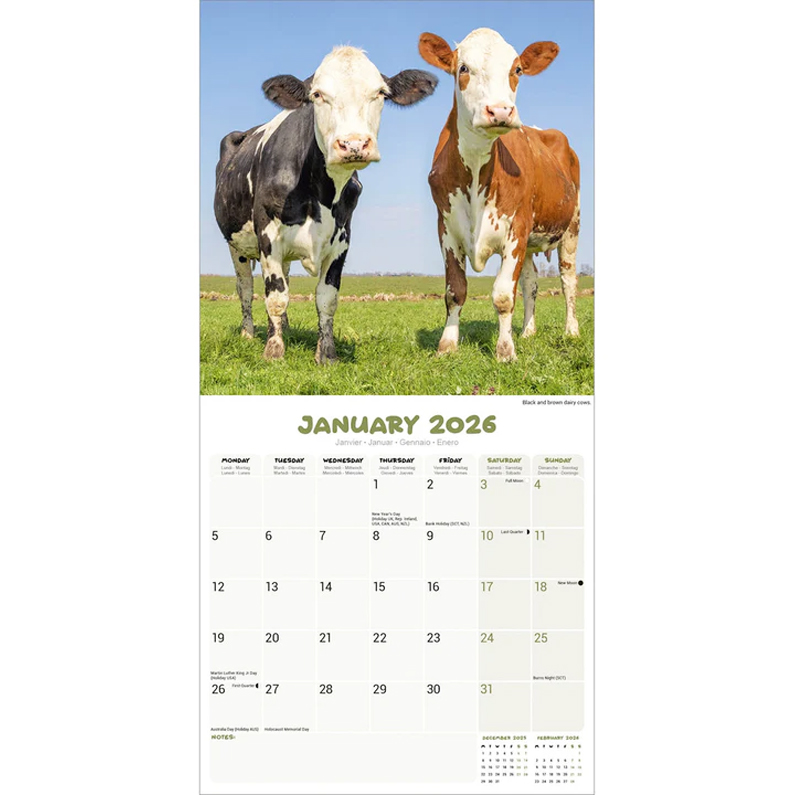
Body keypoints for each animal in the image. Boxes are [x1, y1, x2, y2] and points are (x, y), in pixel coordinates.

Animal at [214, 47, 437, 363]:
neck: (321, 191)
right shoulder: (268, 235)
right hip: (237, 247)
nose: (354, 144)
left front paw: (327, 354)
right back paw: (248, 334)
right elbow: (275, 296)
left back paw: (284, 327)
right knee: (245, 288)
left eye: (381, 92)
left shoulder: (342, 237)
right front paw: (274, 351)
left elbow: (326, 299)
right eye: (317, 94)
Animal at [418, 28, 581, 362]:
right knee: (531, 282)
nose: (501, 111)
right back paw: (528, 332)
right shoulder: (446, 229)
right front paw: (447, 345)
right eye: (463, 68)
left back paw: (571, 331)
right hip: (532, 240)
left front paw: (505, 351)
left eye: (517, 70)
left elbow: (504, 295)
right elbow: (455, 291)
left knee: (568, 279)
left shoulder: (516, 228)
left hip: (571, 226)